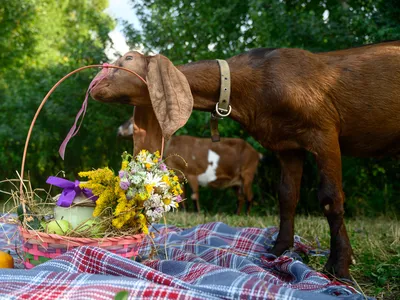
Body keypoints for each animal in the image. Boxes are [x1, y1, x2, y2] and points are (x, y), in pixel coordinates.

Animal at [117, 117, 264, 213]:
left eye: (131, 121)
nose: (118, 130)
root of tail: (256, 153)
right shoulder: (180, 176)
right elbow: (181, 196)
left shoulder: (193, 174)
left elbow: (194, 196)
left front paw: (197, 214)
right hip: (237, 181)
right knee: (240, 197)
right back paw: (237, 214)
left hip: (247, 173)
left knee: (249, 196)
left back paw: (246, 215)